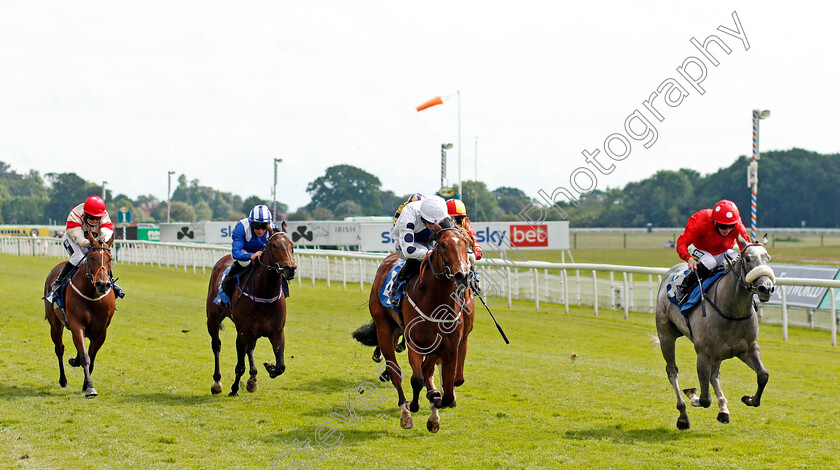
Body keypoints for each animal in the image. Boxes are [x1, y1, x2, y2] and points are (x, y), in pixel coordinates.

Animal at [43, 231, 116, 396]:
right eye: (91, 258)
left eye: (110, 258)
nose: (102, 284)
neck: (93, 297)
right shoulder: (77, 325)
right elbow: (85, 356)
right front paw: (89, 387)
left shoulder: (101, 331)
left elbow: (91, 357)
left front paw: (85, 383)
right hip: (55, 324)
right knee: (59, 349)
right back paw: (63, 380)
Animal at [204, 223, 294, 396]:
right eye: (274, 245)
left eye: (292, 245)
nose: (290, 268)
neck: (264, 295)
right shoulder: (242, 333)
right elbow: (240, 366)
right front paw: (233, 388)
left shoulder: (277, 332)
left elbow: (281, 366)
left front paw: (270, 367)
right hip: (213, 318)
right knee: (216, 345)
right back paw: (217, 382)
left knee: (250, 349)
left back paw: (253, 379)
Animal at [352, 226, 476, 432]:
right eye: (443, 245)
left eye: (467, 244)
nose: (463, 275)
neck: (436, 301)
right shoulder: (415, 343)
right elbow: (417, 379)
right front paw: (415, 405)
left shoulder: (449, 346)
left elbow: (447, 391)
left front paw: (435, 403)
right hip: (384, 328)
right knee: (395, 372)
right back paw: (405, 412)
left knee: (427, 372)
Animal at [656, 235, 776, 430]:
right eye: (748, 259)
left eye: (769, 258)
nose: (766, 288)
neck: (732, 311)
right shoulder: (703, 354)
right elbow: (705, 399)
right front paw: (693, 396)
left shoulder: (748, 348)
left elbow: (763, 376)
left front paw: (749, 399)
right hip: (666, 335)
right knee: (672, 371)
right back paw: (683, 416)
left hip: (719, 353)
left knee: (714, 376)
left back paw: (723, 410)